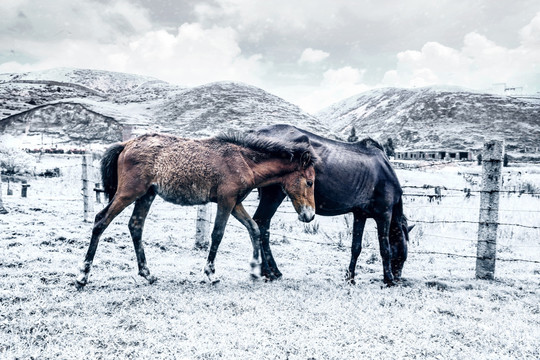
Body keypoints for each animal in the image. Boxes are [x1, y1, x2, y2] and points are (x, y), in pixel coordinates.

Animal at [74, 129, 314, 286]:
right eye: (310, 182)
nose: (309, 215)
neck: (244, 160)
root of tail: (126, 144)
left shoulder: (235, 202)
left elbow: (253, 228)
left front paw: (254, 269)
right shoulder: (226, 201)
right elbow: (217, 234)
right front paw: (211, 274)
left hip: (146, 195)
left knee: (135, 226)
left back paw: (147, 274)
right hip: (128, 192)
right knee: (101, 220)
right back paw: (82, 276)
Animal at [250, 125, 414, 286]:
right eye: (403, 256)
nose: (398, 278)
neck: (385, 172)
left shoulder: (360, 215)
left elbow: (356, 247)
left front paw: (350, 277)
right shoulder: (384, 215)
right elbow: (385, 248)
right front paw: (388, 279)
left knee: (264, 228)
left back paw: (273, 271)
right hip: (273, 196)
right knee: (260, 223)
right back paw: (268, 272)